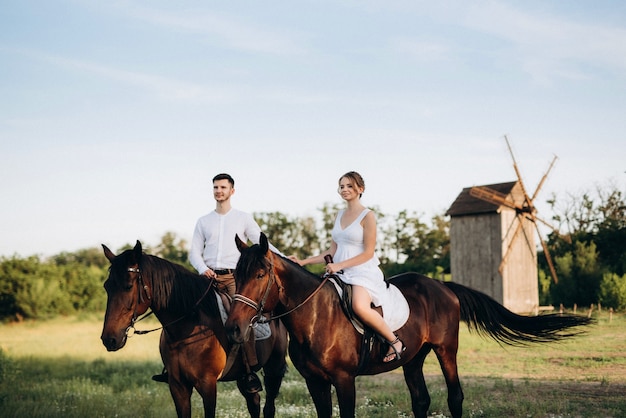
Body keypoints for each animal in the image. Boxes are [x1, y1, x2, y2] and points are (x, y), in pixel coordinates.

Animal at [100, 240, 288, 418]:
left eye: (128, 286)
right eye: (107, 286)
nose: (109, 339)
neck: (186, 330)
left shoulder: (208, 385)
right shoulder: (178, 386)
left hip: (274, 369)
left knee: (269, 407)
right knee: (253, 403)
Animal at [223, 233, 588, 416]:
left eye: (260, 274)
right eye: (235, 273)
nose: (234, 329)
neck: (315, 316)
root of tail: (442, 286)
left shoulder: (344, 380)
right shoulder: (315, 382)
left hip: (446, 350)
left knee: (455, 398)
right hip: (413, 358)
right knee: (421, 401)